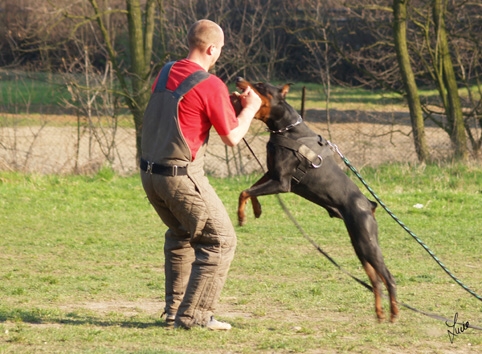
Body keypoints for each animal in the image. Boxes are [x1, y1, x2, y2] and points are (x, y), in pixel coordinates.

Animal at [233, 79, 400, 322]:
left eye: (260, 85)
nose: (239, 80)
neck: (286, 128)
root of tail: (369, 205)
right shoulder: (271, 173)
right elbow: (250, 191)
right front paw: (256, 210)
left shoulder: (282, 182)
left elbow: (245, 192)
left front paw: (242, 217)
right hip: (359, 245)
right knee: (376, 280)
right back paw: (379, 313)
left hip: (367, 242)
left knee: (388, 277)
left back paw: (394, 311)